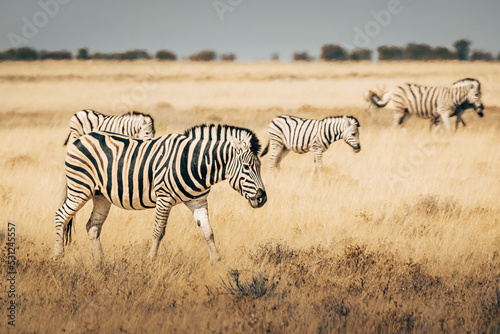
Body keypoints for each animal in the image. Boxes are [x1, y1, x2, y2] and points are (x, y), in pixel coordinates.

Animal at [52, 124, 268, 262]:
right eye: (247, 167)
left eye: (259, 167)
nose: (262, 198)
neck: (195, 164)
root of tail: (81, 138)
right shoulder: (164, 198)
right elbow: (158, 232)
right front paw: (151, 262)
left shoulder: (198, 201)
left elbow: (208, 232)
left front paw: (217, 262)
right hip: (80, 188)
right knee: (61, 215)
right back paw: (58, 257)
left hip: (100, 195)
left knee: (93, 226)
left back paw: (100, 264)